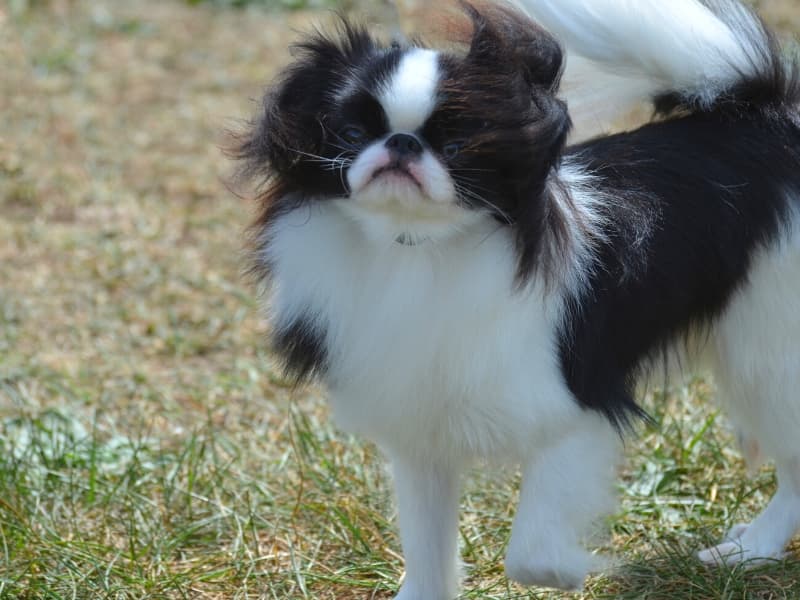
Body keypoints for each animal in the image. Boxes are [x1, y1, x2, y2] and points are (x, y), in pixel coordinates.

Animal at [231, 0, 800, 596]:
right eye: (350, 132)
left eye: (457, 147)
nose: (401, 143)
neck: (414, 249)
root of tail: (772, 118)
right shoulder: (420, 438)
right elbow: (427, 547)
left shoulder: (575, 415)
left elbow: (530, 554)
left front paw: (586, 568)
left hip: (767, 360)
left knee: (792, 469)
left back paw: (754, 548)